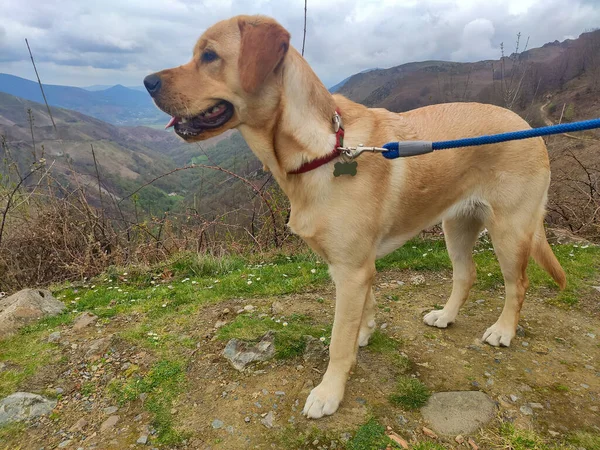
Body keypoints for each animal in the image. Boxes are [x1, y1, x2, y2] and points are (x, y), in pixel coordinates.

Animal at [143, 15, 564, 420]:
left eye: (209, 55)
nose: (147, 82)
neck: (323, 151)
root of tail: (528, 126)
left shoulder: (351, 270)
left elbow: (337, 342)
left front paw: (329, 392)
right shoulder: (352, 266)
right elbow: (366, 308)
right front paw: (366, 330)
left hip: (509, 231)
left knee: (518, 285)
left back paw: (503, 331)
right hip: (456, 226)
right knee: (466, 274)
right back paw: (445, 316)